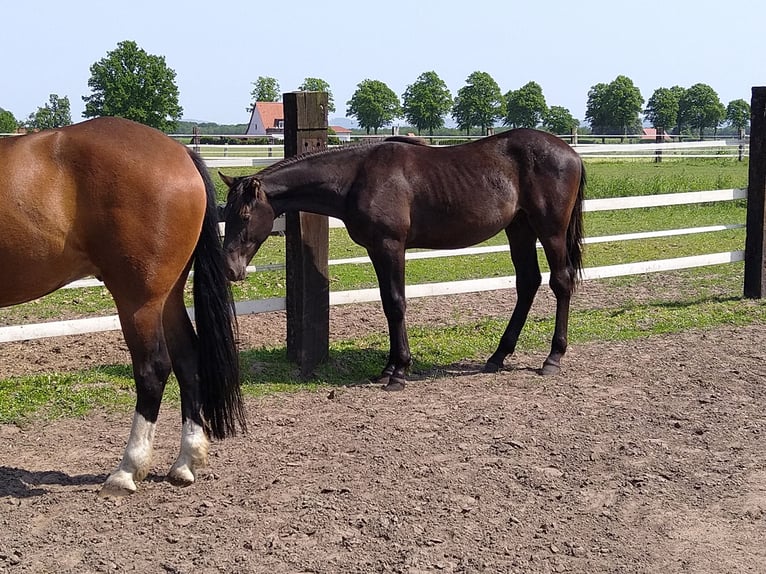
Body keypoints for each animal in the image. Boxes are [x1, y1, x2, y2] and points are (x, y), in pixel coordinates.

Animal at [0, 118, 246, 500]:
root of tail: (181, 153)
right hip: (166, 298)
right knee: (188, 360)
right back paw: (185, 463)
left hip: (138, 301)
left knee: (153, 370)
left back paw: (128, 470)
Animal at [222, 129, 588, 392]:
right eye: (227, 212)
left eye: (244, 215)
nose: (230, 267)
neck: (356, 176)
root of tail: (570, 153)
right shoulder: (376, 249)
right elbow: (387, 303)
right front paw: (390, 367)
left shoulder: (390, 246)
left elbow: (397, 303)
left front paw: (398, 373)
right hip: (520, 229)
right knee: (528, 282)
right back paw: (498, 356)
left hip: (550, 231)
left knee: (560, 281)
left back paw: (553, 357)